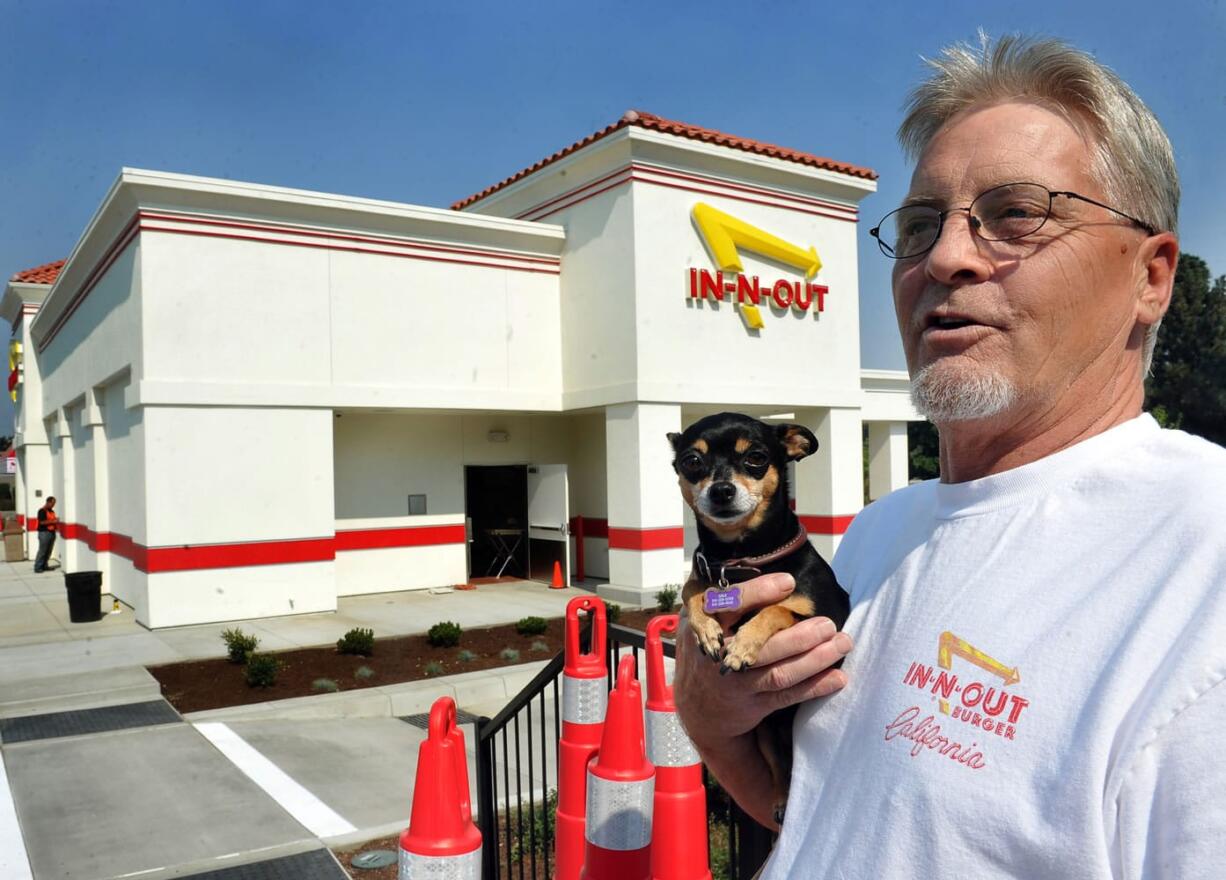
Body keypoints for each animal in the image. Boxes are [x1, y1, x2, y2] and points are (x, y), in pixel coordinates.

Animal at [666, 414, 848, 828]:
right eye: (691, 462)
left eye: (756, 457)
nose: (721, 490)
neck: (741, 561)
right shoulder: (705, 573)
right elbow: (691, 587)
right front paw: (707, 629)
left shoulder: (831, 619)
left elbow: (779, 609)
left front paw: (743, 646)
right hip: (767, 732)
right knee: (782, 770)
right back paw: (781, 801)